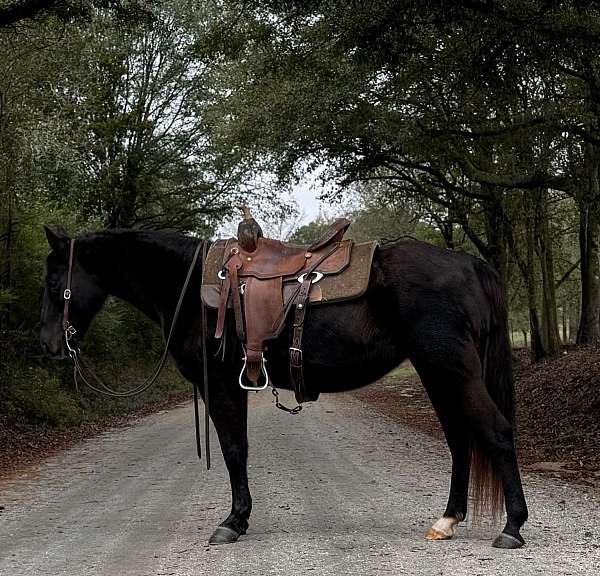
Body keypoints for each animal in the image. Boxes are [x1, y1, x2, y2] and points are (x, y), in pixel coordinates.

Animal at [41, 225, 528, 548]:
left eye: (52, 281)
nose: (48, 346)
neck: (190, 286)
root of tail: (468, 263)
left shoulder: (223, 385)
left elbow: (234, 449)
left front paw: (234, 521)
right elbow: (238, 449)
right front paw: (239, 517)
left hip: (450, 369)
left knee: (496, 432)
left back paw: (512, 528)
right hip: (437, 372)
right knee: (460, 441)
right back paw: (447, 521)